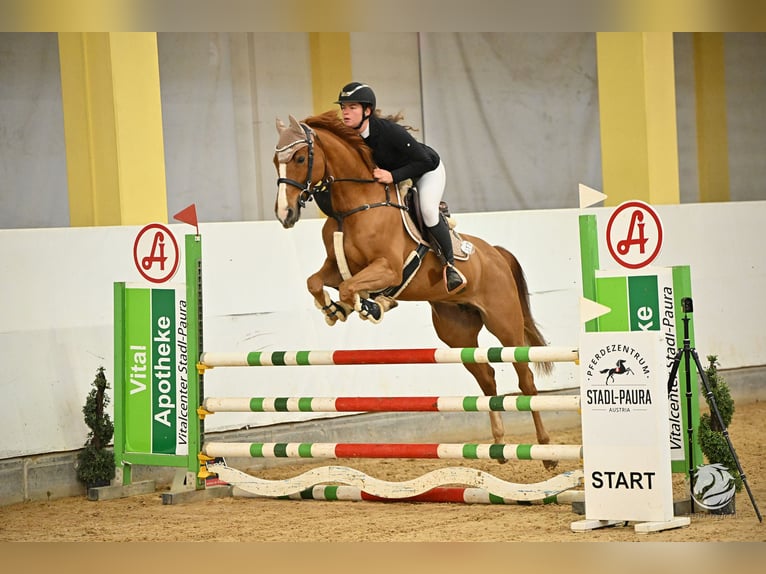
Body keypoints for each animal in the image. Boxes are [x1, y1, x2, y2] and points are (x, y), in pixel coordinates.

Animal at [273, 110, 556, 469]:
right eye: (275, 161)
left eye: (299, 158)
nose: (285, 214)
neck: (354, 205)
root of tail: (495, 253)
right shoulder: (336, 267)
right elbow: (318, 282)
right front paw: (335, 309)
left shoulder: (388, 268)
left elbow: (353, 287)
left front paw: (373, 306)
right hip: (456, 332)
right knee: (487, 376)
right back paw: (499, 444)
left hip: (504, 323)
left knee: (525, 378)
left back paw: (546, 451)